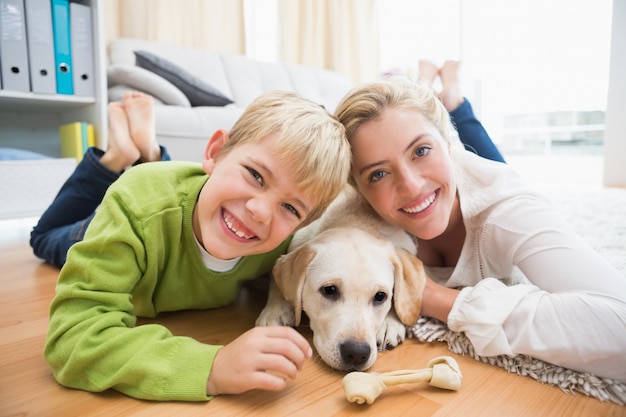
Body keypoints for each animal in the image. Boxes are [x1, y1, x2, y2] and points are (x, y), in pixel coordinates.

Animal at [254, 187, 424, 368]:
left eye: (380, 296)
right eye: (329, 290)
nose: (357, 353)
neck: (356, 221)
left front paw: (390, 322)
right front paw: (275, 311)